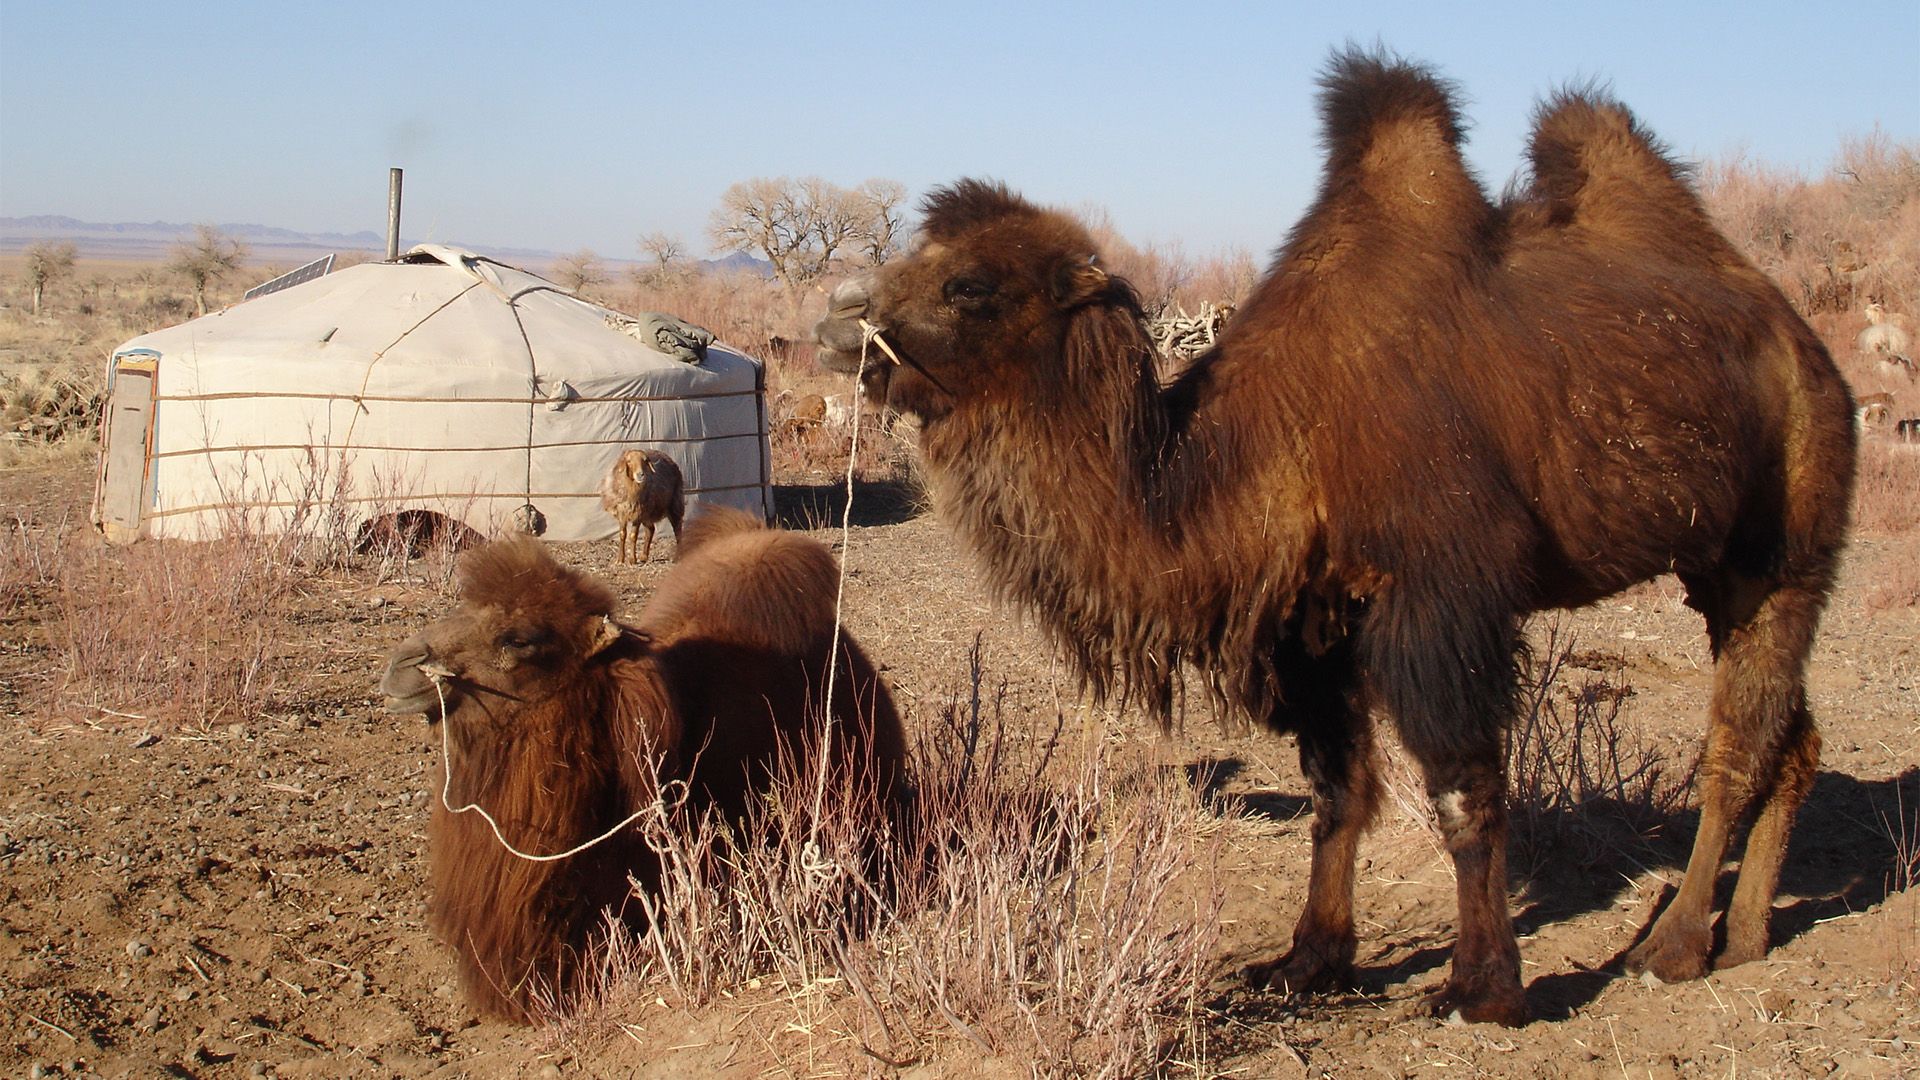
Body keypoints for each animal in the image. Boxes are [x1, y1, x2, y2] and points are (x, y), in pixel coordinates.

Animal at [814, 52, 1858, 1022]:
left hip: (1784, 541)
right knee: (1792, 737)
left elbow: (1462, 791)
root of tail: (1800, 338)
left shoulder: (1440, 598)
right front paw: (1308, 960)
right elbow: (1335, 788)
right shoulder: (1314, 621)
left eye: (969, 283)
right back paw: (1745, 936)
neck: (1263, 442)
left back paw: (1672, 944)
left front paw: (1483, 989)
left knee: (1738, 739)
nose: (837, 321)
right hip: (1720, 563)